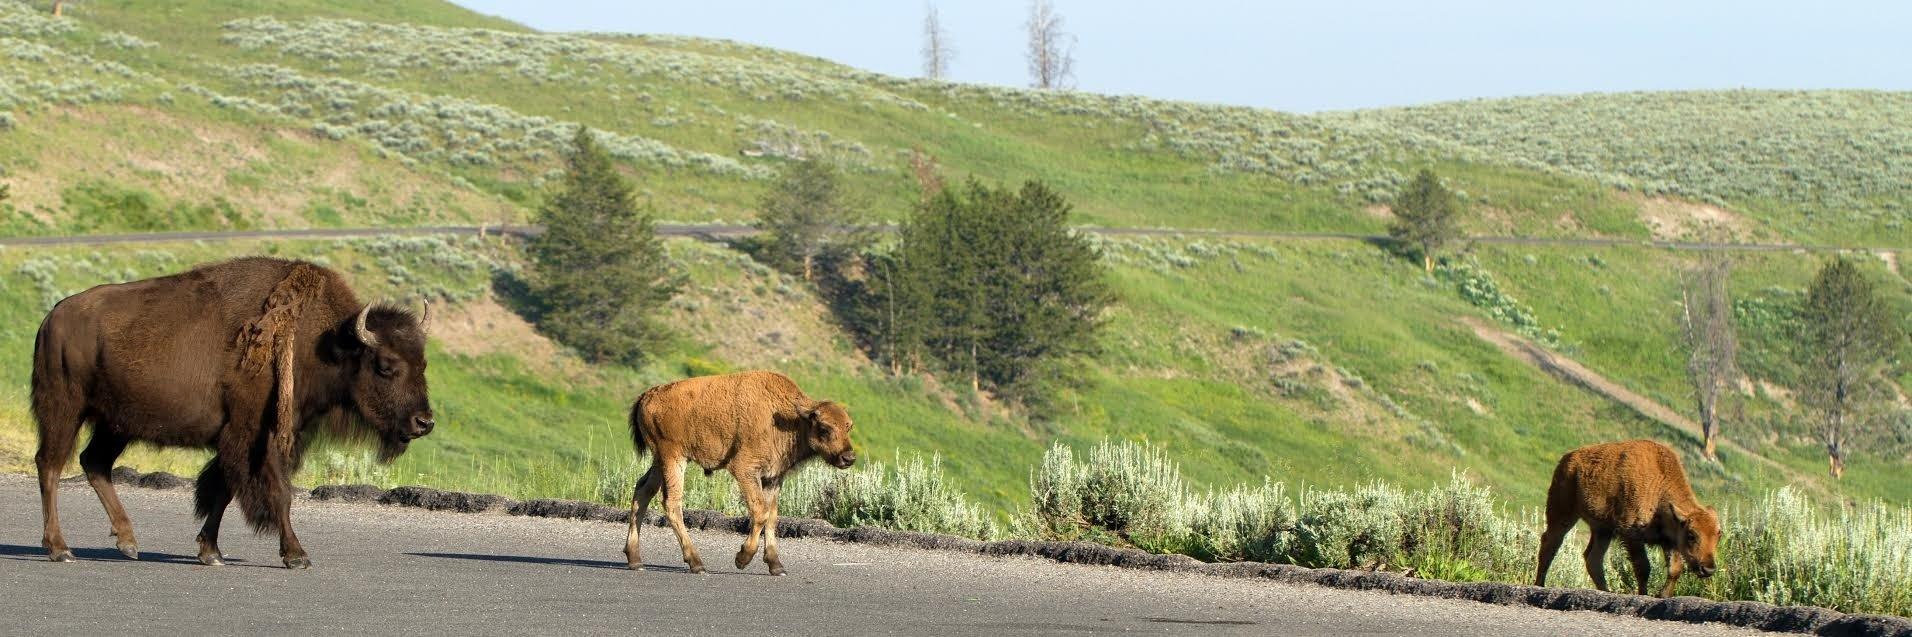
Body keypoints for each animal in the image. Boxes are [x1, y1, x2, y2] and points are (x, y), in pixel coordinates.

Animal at [32, 256, 437, 566]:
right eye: (385, 365)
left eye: (423, 363)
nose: (424, 422)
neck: (322, 343)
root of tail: (53, 316)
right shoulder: (257, 436)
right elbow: (278, 492)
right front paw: (297, 555)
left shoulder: (241, 440)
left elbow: (224, 491)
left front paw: (210, 552)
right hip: (65, 409)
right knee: (50, 465)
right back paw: (60, 548)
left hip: (116, 424)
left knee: (95, 463)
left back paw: (128, 542)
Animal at [623, 369, 856, 573]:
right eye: (824, 428)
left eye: (848, 426)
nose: (849, 457)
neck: (789, 419)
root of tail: (646, 396)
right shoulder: (745, 469)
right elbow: (760, 512)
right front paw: (742, 558)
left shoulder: (773, 477)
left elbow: (771, 516)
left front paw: (776, 565)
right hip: (673, 458)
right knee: (672, 503)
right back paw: (696, 563)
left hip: (659, 462)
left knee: (642, 491)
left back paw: (635, 559)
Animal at [1529, 436, 1728, 596]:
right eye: (1691, 535)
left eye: (1718, 536)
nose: (1708, 568)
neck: (1660, 488)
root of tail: (1567, 459)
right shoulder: (1631, 534)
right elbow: (1643, 567)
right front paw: (1643, 594)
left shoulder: (1669, 541)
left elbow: (1675, 569)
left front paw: (1662, 596)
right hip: (1562, 514)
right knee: (1550, 543)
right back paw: (1540, 584)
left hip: (1603, 530)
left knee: (1592, 557)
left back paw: (1607, 591)